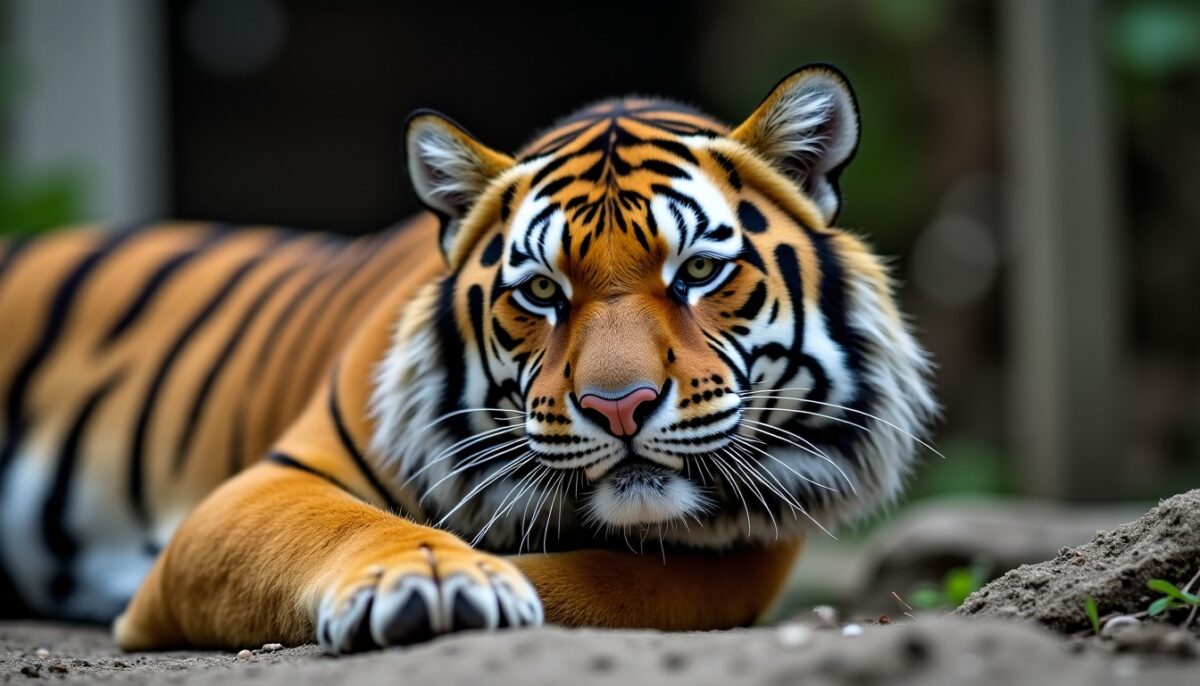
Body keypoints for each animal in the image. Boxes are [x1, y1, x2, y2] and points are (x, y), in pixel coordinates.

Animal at [0, 64, 935, 653]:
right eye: (543, 291)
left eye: (699, 272)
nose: (620, 407)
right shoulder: (254, 491)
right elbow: (356, 525)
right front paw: (438, 582)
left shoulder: (748, 549)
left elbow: (611, 581)